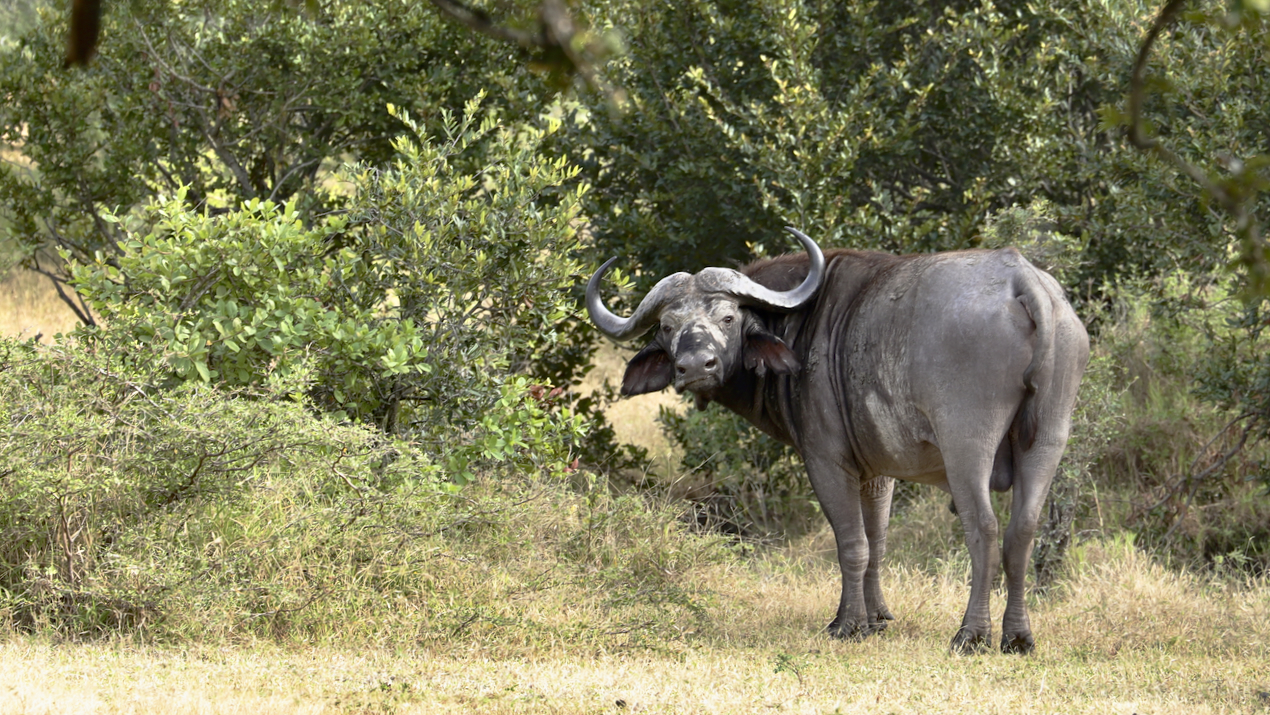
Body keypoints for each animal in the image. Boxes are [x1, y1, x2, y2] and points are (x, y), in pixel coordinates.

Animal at [586, 229, 1092, 655]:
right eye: (668, 327)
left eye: (727, 317)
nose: (695, 366)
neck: (802, 323)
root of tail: (1020, 277)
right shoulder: (879, 473)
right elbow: (878, 540)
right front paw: (878, 618)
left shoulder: (827, 461)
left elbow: (851, 542)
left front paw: (847, 624)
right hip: (1048, 440)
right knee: (1021, 531)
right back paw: (1018, 636)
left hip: (966, 444)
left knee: (983, 529)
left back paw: (971, 634)